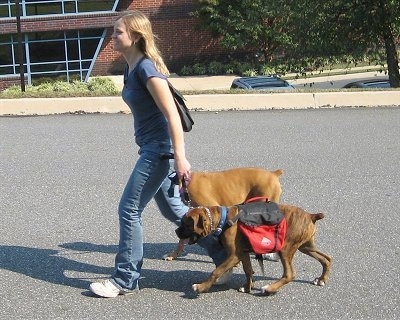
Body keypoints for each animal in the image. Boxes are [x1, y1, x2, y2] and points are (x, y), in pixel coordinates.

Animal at [175, 202, 332, 296]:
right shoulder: (242, 254)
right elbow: (248, 270)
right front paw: (247, 286)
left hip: (285, 249)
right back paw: (321, 279)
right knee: (327, 259)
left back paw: (269, 289)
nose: (176, 231)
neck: (223, 220)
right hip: (306, 247)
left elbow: (216, 271)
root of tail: (310, 216)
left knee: (289, 275)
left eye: (185, 224)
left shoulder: (233, 256)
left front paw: (201, 287)